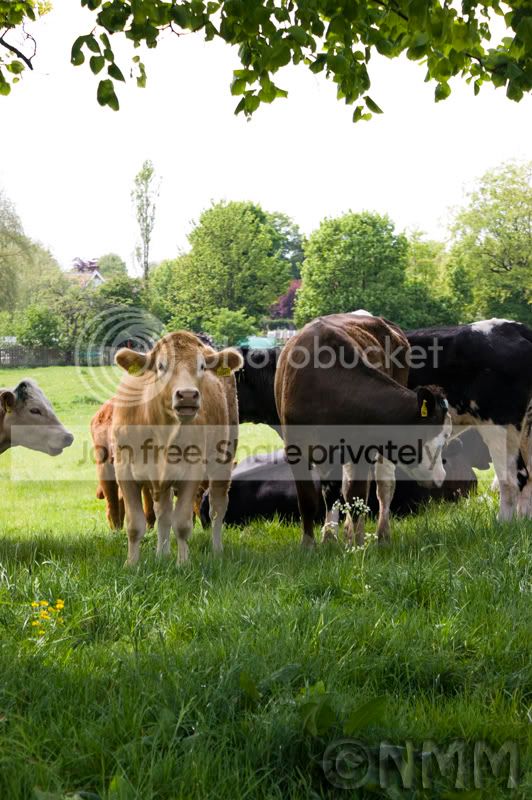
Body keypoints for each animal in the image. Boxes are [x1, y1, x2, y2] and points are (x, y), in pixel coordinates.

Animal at [111, 331, 243, 566]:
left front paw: (183, 564)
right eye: (161, 366)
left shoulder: (192, 471)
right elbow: (135, 525)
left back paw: (217, 549)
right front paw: (131, 564)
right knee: (163, 513)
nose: (188, 395)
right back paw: (161, 555)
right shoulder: (124, 470)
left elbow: (181, 523)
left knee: (217, 508)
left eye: (202, 366)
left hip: (224, 459)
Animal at [274, 313, 452, 547]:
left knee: (383, 486)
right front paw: (309, 544)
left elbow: (355, 495)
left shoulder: (362, 447)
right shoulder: (296, 449)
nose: (441, 477)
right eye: (443, 436)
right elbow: (308, 499)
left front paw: (357, 545)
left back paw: (380, 535)